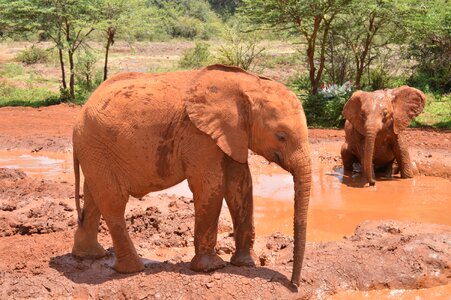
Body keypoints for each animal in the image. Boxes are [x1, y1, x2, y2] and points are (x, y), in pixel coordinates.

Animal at [72, 63, 312, 286]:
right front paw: (211, 268)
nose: (294, 284)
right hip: (97, 148)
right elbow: (210, 185)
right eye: (281, 136)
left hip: (94, 152)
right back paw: (133, 269)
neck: (248, 83)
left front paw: (246, 264)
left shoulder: (231, 134)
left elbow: (240, 184)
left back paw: (90, 256)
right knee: (113, 201)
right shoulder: (198, 134)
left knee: (93, 198)